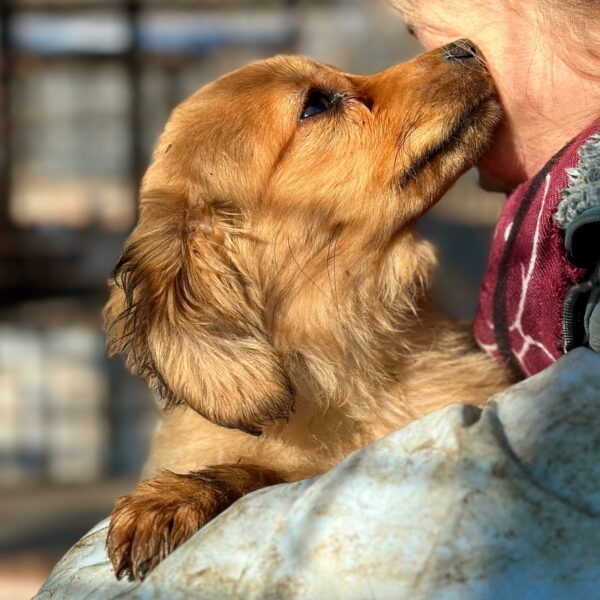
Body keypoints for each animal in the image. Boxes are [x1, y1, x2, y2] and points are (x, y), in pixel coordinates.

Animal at [103, 38, 510, 580]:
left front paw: (172, 499)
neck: (341, 352)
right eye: (315, 104)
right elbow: (264, 468)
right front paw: (175, 496)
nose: (465, 46)